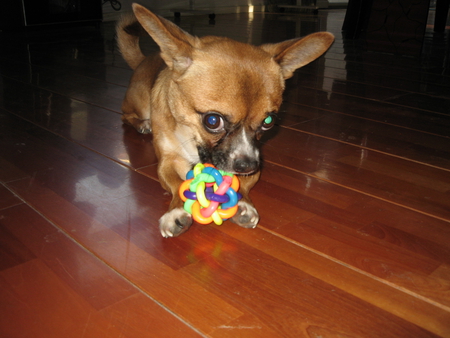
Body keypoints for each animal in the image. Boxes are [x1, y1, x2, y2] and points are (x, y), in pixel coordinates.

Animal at [116, 4, 334, 238]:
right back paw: (142, 124)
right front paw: (175, 211)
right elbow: (176, 183)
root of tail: (143, 60)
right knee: (125, 115)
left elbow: (243, 184)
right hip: (139, 102)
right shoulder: (168, 161)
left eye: (268, 121)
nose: (247, 164)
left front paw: (244, 204)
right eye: (212, 121)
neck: (192, 138)